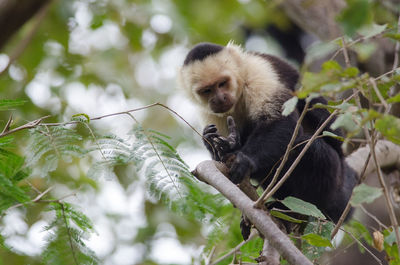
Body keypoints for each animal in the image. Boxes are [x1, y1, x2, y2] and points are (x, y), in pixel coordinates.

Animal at [178, 41, 356, 237]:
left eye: (222, 83)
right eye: (207, 90)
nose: (219, 99)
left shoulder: (259, 71)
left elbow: (280, 121)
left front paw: (244, 159)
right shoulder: (209, 111)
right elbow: (219, 155)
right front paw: (222, 143)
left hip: (333, 180)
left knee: (308, 147)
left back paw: (292, 210)